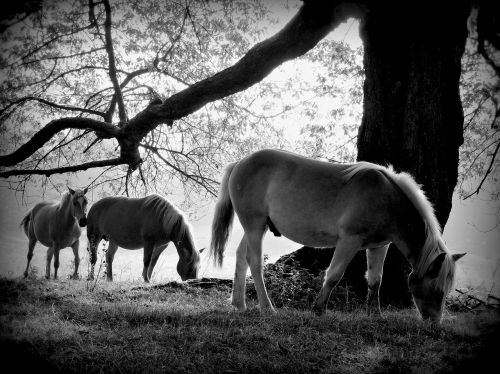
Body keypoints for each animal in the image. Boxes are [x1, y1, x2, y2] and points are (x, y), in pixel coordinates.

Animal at [210, 148, 464, 322]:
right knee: (254, 262)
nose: (435, 323)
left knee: (241, 257)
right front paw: (318, 308)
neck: (387, 199)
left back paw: (239, 304)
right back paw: (266, 307)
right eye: (438, 290)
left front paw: (375, 314)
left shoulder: (379, 246)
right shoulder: (349, 241)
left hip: (257, 227)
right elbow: (333, 275)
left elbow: (375, 280)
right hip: (254, 225)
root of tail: (240, 163)